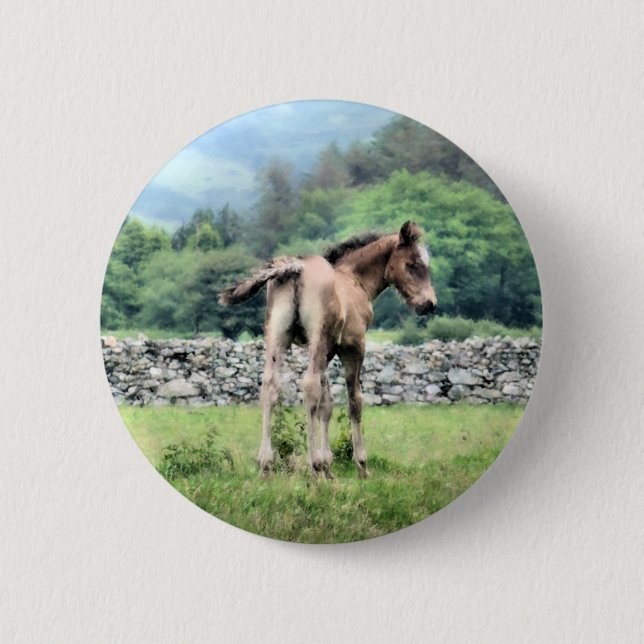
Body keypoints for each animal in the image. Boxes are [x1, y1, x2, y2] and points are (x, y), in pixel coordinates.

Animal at [219, 221, 437, 478]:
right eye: (412, 264)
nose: (429, 304)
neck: (355, 280)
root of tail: (296, 267)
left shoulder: (325, 350)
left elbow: (327, 404)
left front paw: (328, 467)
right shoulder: (352, 347)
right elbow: (354, 401)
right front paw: (360, 465)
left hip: (278, 336)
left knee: (270, 385)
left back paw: (266, 464)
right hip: (318, 337)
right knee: (309, 386)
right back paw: (312, 464)